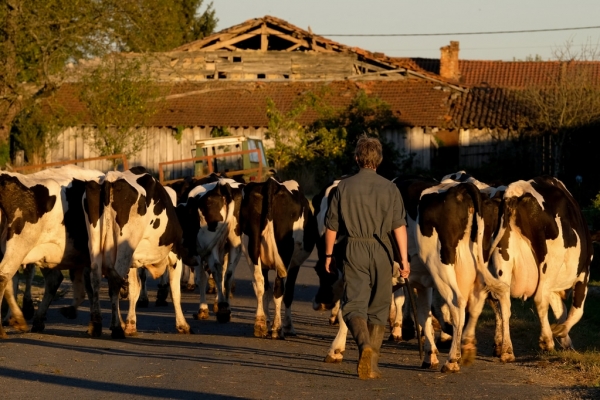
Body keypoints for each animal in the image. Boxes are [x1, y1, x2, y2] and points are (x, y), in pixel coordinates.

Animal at [84, 166, 190, 338]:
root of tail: (110, 178)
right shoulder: (175, 255)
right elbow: (175, 291)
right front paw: (182, 325)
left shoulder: (134, 262)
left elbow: (134, 288)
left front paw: (130, 324)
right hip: (123, 250)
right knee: (114, 283)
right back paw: (116, 327)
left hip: (97, 246)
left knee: (95, 279)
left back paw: (96, 325)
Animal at [240, 178, 318, 338]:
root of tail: (271, 183)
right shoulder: (294, 264)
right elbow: (288, 293)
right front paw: (288, 326)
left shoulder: (264, 265)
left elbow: (265, 291)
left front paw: (266, 320)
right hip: (285, 254)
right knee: (279, 288)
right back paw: (278, 328)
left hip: (252, 252)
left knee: (259, 284)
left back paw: (260, 325)